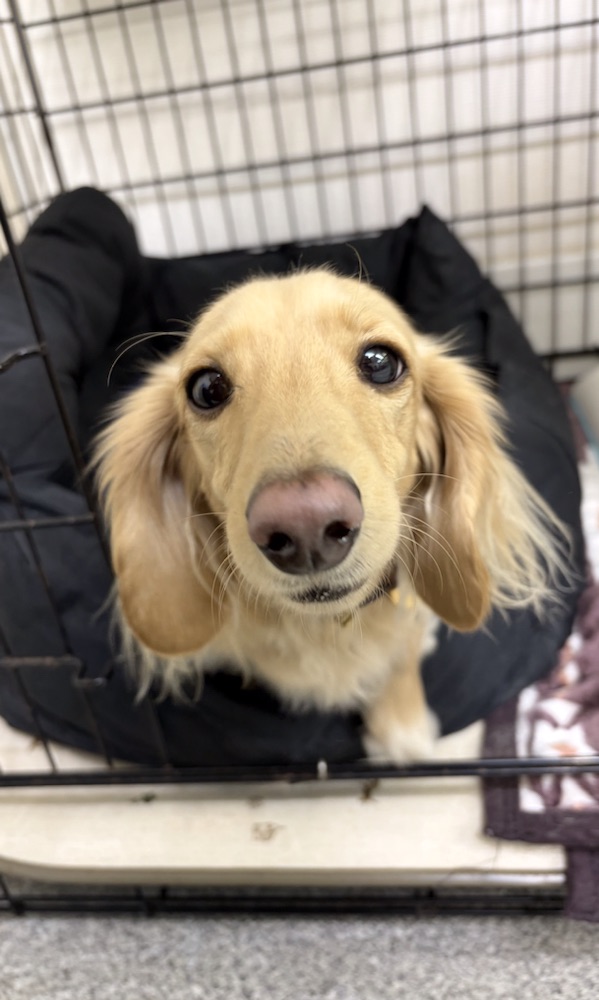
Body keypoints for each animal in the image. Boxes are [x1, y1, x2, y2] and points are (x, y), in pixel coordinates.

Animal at [95, 270, 569, 761]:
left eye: (380, 362)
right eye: (207, 388)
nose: (305, 525)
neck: (325, 628)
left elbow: (402, 654)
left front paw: (402, 729)